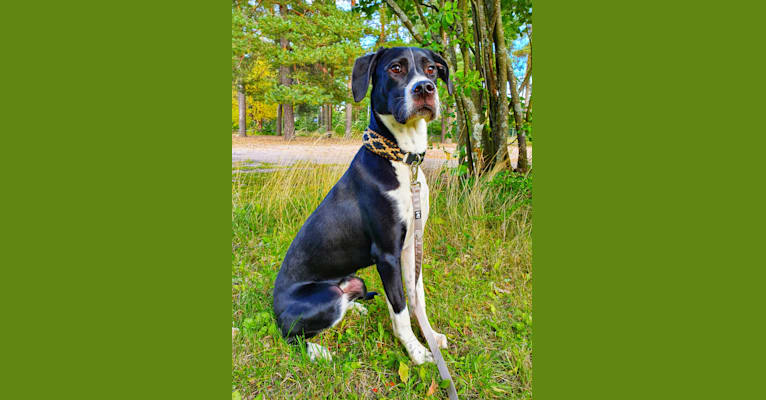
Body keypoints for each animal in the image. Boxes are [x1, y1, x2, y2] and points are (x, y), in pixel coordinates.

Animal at [274, 47, 452, 366]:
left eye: (431, 69)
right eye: (395, 68)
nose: (424, 88)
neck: (402, 160)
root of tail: (274, 308)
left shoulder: (410, 247)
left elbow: (417, 297)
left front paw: (430, 336)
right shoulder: (387, 255)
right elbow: (400, 309)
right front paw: (417, 351)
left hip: (353, 278)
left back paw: (354, 307)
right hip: (324, 297)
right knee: (291, 334)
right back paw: (317, 350)